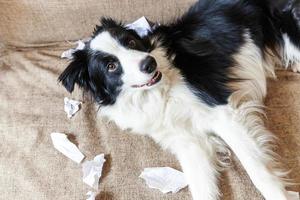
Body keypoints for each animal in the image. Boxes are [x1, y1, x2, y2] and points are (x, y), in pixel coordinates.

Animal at [59, 0, 300, 199]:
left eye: (131, 42)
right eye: (111, 66)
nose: (150, 64)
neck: (158, 92)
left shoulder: (222, 114)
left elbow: (258, 171)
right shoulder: (187, 142)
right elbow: (201, 188)